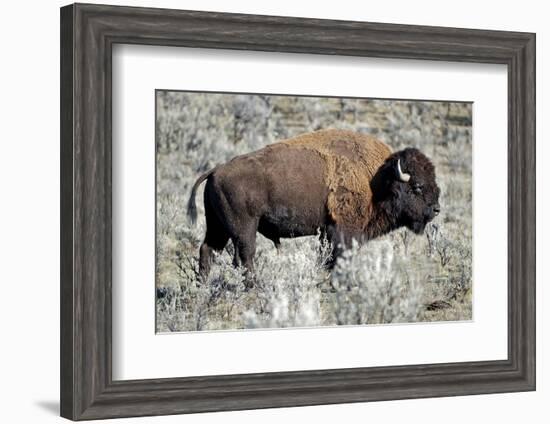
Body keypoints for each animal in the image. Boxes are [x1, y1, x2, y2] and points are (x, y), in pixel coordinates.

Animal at [188, 127, 442, 276]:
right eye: (417, 186)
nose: (436, 209)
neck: (376, 178)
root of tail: (216, 170)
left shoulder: (328, 231)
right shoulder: (344, 231)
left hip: (218, 226)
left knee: (208, 249)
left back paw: (204, 284)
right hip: (243, 228)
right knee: (245, 255)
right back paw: (253, 285)